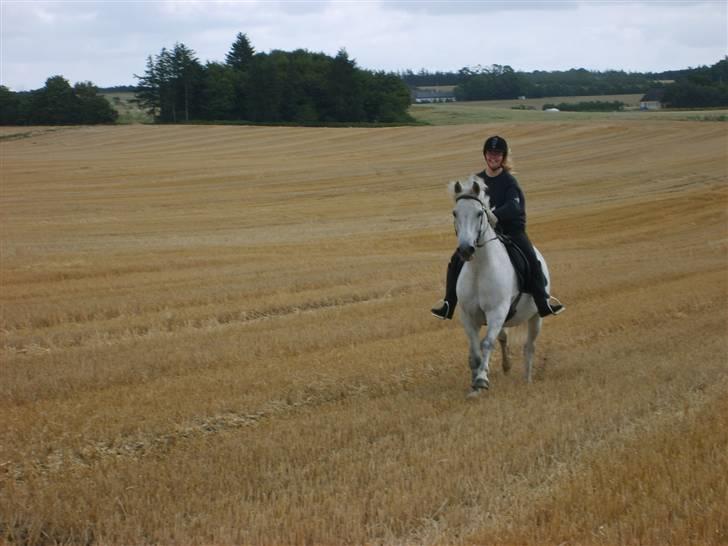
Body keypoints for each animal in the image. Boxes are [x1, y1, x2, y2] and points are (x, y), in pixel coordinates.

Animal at [450, 174, 552, 392]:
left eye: (479, 213)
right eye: (455, 213)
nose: (466, 249)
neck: (479, 268)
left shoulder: (497, 311)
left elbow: (487, 344)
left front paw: (482, 379)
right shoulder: (468, 315)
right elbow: (474, 351)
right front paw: (475, 379)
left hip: (536, 317)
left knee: (529, 347)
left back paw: (527, 379)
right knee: (504, 338)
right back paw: (506, 366)